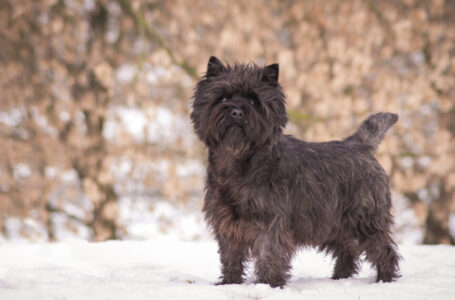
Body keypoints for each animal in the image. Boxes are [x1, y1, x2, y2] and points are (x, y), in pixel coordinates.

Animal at [191, 56, 400, 288]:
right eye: (223, 97)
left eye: (254, 101)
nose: (236, 112)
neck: (239, 161)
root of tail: (360, 146)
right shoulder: (226, 222)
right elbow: (231, 255)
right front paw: (230, 282)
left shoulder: (271, 221)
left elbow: (269, 253)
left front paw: (269, 284)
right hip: (334, 223)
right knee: (348, 249)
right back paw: (339, 277)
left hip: (365, 219)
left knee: (382, 248)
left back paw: (384, 279)